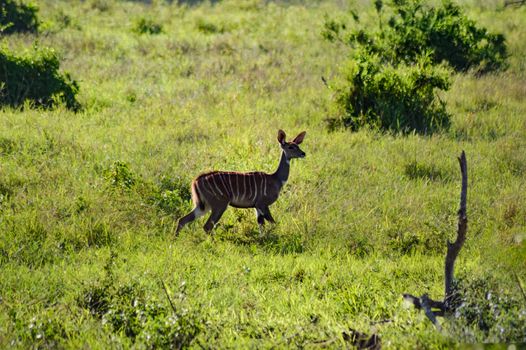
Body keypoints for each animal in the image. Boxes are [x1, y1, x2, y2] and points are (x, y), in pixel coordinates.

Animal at [176, 130, 308, 237]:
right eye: (291, 147)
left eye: (297, 145)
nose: (303, 153)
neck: (276, 179)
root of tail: (196, 180)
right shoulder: (263, 204)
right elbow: (273, 223)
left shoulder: (257, 207)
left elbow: (261, 226)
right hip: (219, 205)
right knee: (207, 226)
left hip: (203, 206)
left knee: (182, 220)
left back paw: (175, 240)